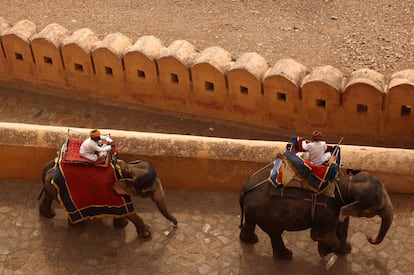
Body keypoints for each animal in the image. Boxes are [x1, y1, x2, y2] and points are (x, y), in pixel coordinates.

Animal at [36, 158, 176, 240]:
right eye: (148, 192)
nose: (175, 225)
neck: (130, 169)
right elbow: (126, 210)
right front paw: (147, 234)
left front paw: (122, 225)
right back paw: (79, 225)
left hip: (51, 188)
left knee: (48, 195)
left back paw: (50, 214)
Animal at [238, 164, 392, 260]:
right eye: (374, 210)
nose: (369, 238)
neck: (348, 183)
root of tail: (246, 187)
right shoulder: (326, 211)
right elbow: (320, 235)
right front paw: (329, 251)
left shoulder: (337, 207)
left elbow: (342, 226)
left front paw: (337, 249)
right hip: (267, 214)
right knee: (275, 232)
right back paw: (286, 256)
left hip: (254, 209)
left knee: (252, 223)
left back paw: (250, 240)